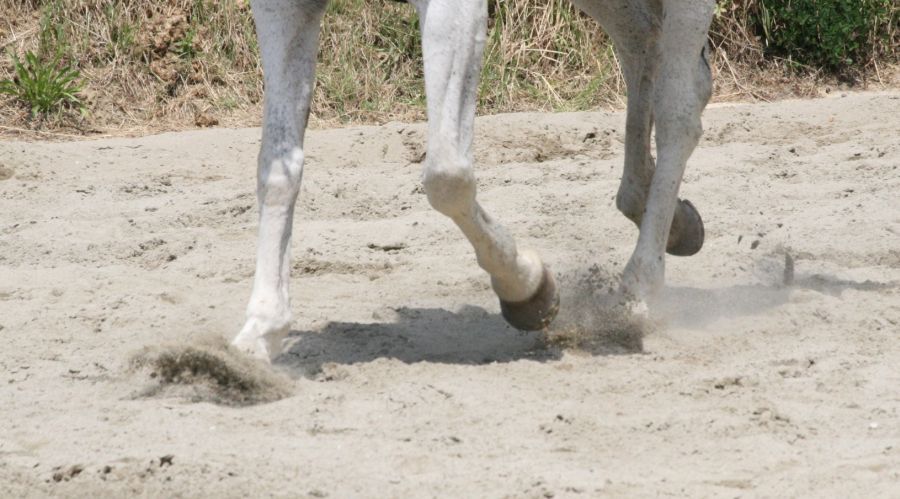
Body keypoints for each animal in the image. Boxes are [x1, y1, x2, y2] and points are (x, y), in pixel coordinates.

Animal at [236, 0, 712, 362]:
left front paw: (529, 290)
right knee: (641, 42)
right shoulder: (282, 5)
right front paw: (259, 334)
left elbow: (447, 175)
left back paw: (638, 294)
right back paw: (673, 222)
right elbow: (277, 168)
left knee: (679, 110)